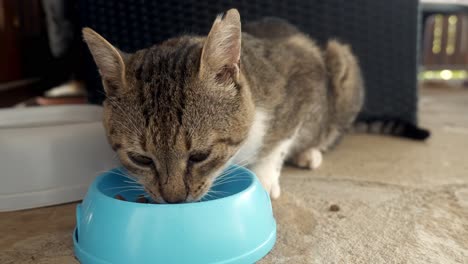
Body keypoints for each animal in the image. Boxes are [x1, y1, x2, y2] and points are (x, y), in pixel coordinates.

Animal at [82, 7, 364, 202]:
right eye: (140, 159)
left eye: (200, 155)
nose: (174, 200)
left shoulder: (303, 78)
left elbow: (280, 142)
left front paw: (264, 177)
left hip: (342, 64)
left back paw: (309, 153)